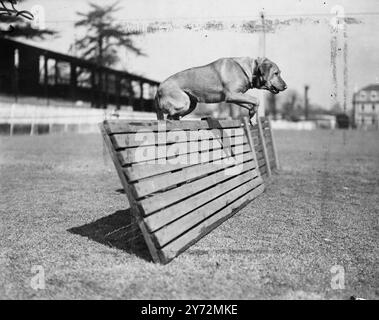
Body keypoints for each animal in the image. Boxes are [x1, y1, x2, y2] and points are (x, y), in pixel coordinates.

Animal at [154, 56, 288, 120]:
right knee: (169, 114)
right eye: (276, 73)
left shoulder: (235, 96)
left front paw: (251, 113)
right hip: (184, 102)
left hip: (192, 104)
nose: (286, 86)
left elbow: (250, 103)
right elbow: (257, 100)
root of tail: (158, 88)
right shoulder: (232, 95)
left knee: (173, 116)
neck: (252, 69)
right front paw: (253, 115)